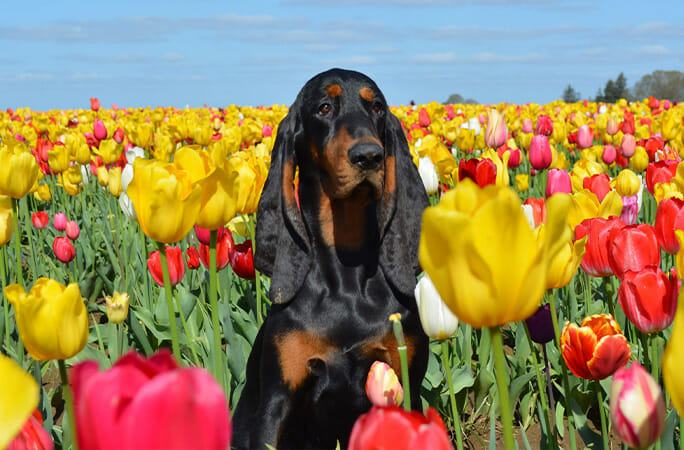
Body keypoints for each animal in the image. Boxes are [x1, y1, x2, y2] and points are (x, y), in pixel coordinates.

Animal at [232, 68, 430, 448]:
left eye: (377, 107)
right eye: (324, 107)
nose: (369, 156)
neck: (347, 275)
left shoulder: (405, 385)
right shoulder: (276, 402)